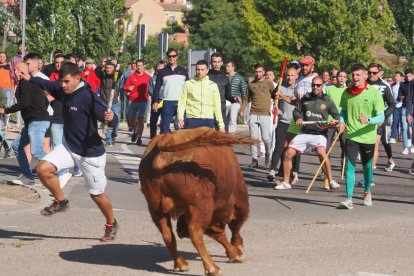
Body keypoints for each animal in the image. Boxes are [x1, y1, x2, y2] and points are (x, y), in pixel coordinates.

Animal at [139, 128, 256, 276]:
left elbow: (218, 233)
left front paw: (234, 253)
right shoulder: (238, 204)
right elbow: (233, 227)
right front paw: (237, 251)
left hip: (155, 209)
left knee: (168, 235)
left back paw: (181, 264)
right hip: (199, 207)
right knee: (195, 233)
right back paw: (212, 268)